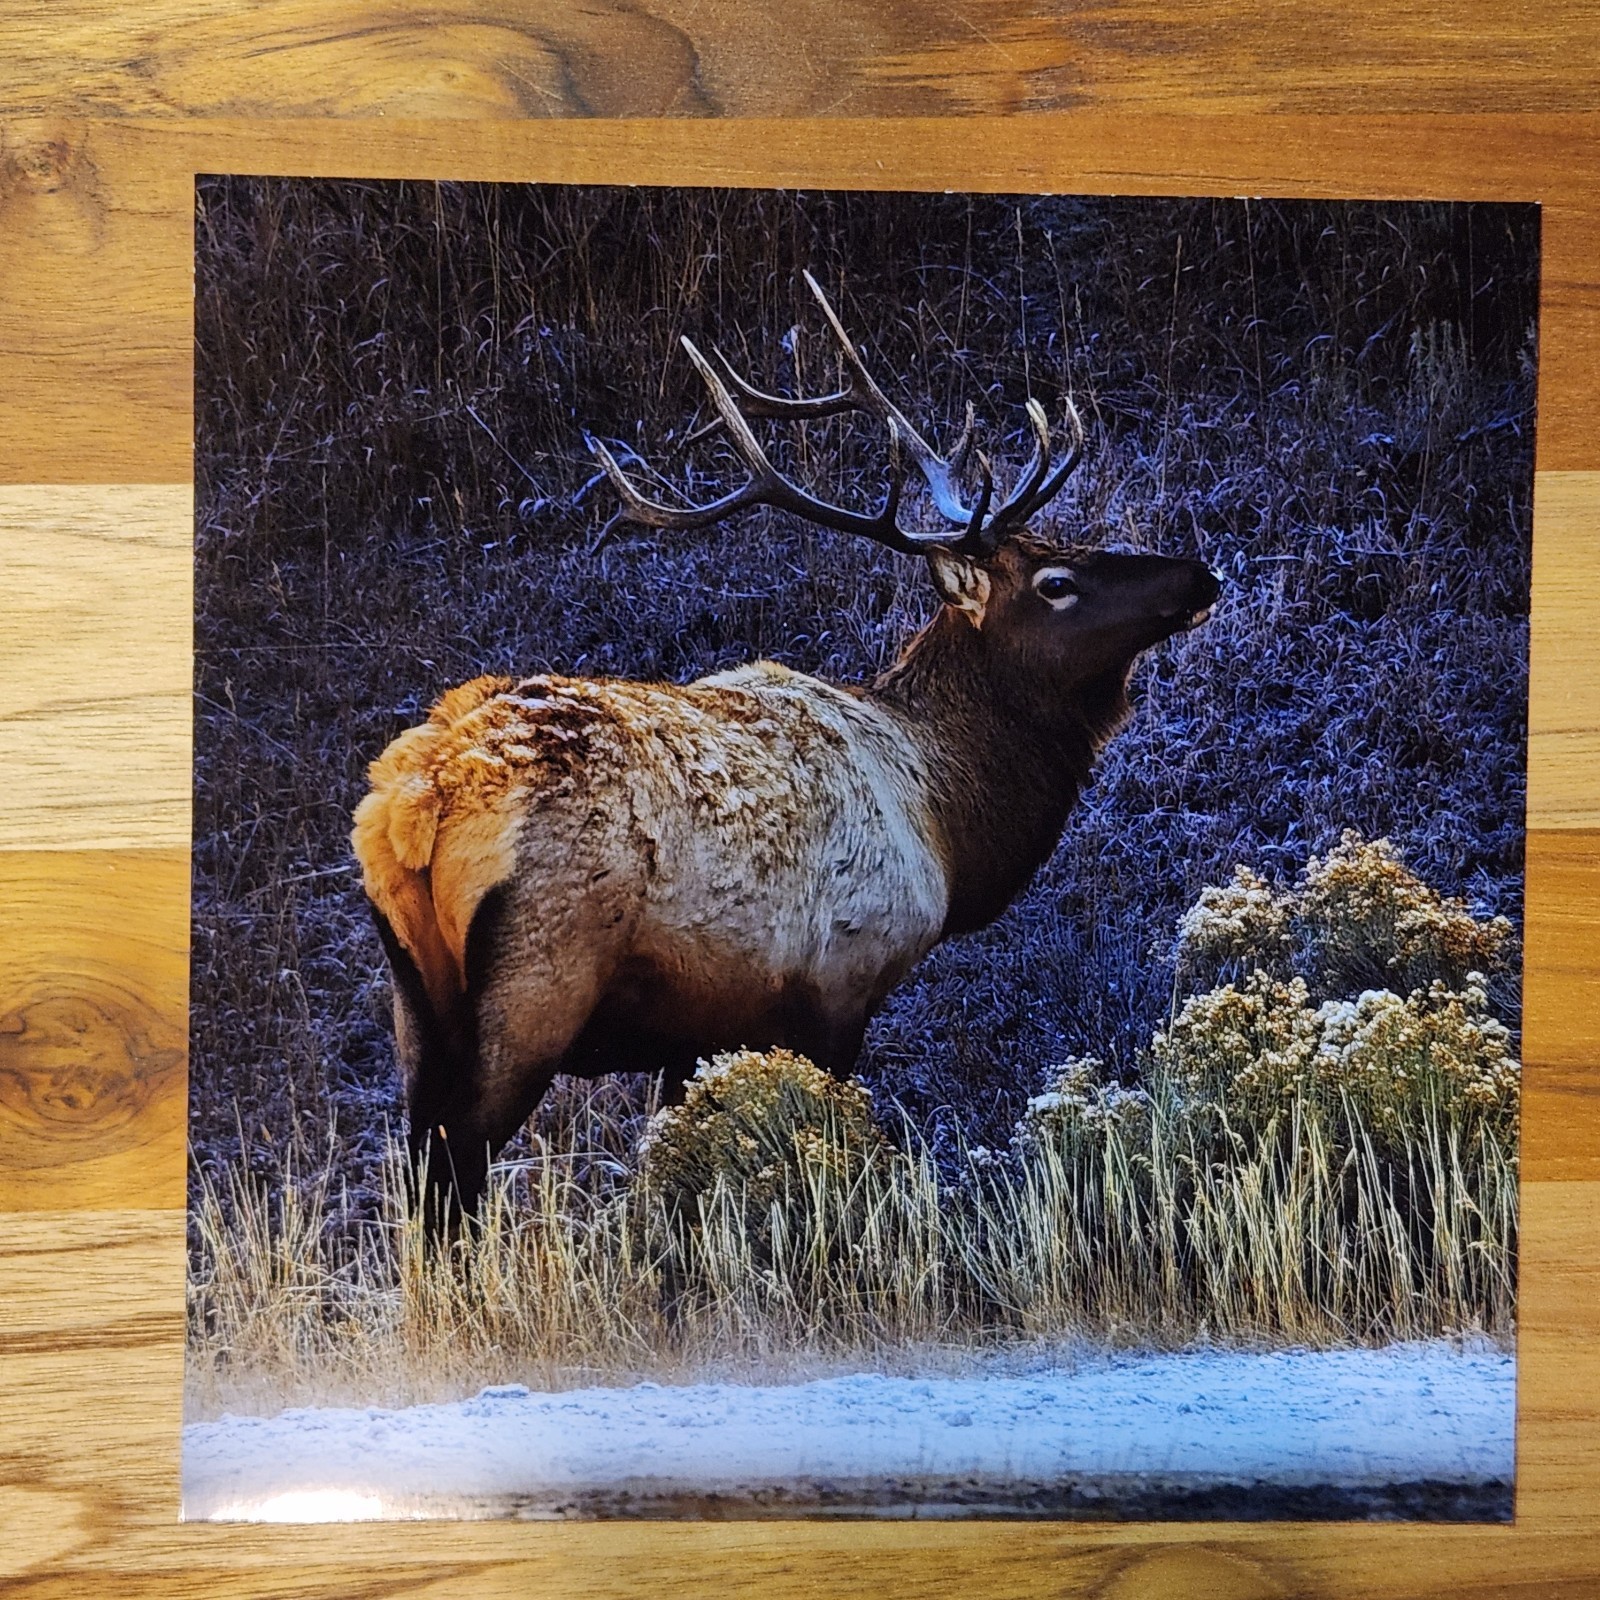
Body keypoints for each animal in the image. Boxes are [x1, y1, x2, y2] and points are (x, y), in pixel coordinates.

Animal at [352, 272, 1220, 1223]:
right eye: (1057, 583)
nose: (1200, 572)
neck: (948, 828)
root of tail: (414, 799)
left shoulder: (697, 1032)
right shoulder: (839, 983)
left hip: (412, 1002)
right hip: (533, 983)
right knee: (450, 1181)